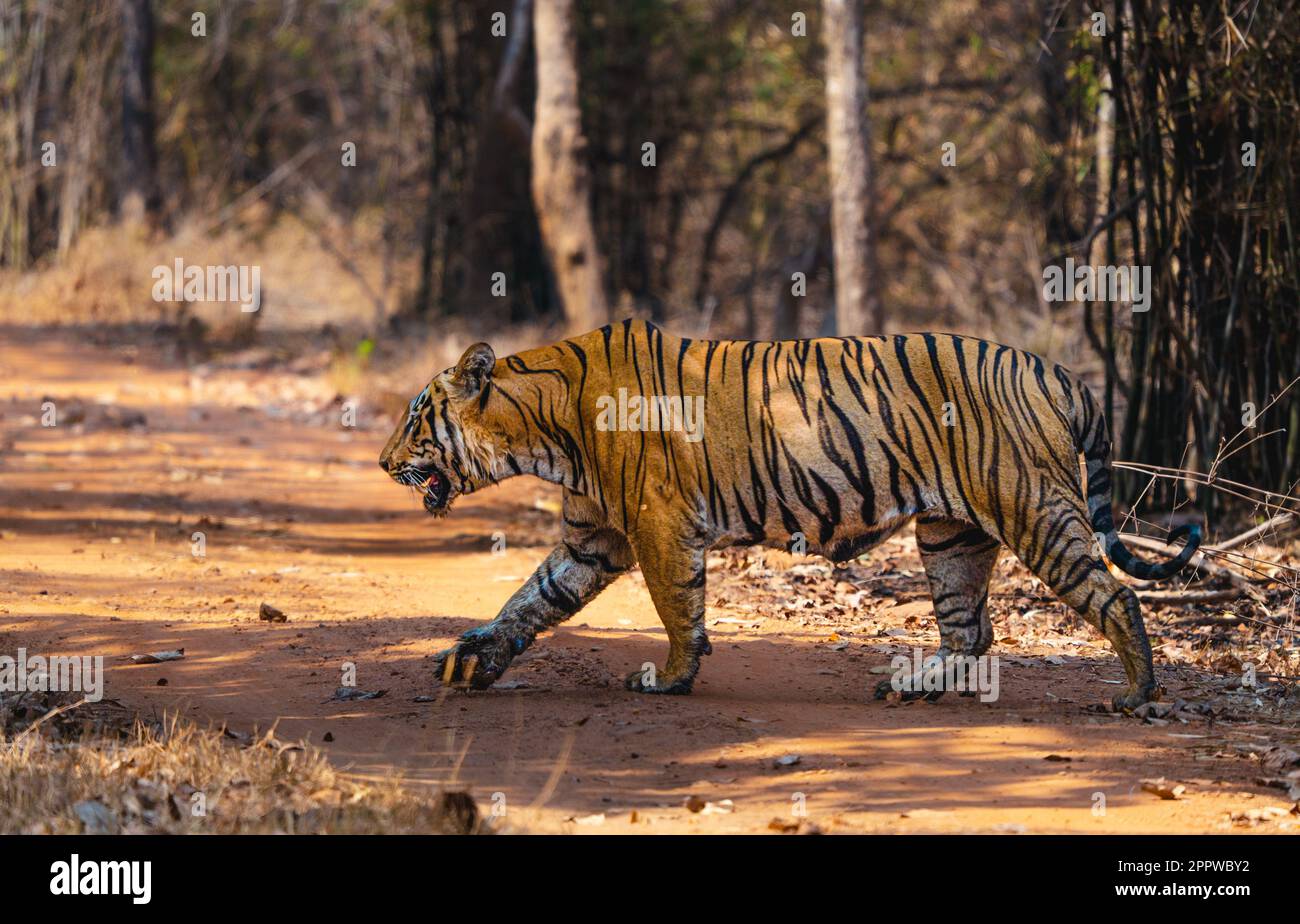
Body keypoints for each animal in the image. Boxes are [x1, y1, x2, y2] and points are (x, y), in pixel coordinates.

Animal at [377, 318, 1196, 706]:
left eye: (417, 418)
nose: (384, 464)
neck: (542, 427)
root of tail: (1056, 370)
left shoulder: (656, 524)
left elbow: (677, 608)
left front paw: (671, 679)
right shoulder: (592, 537)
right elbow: (530, 599)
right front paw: (474, 659)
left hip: (1034, 508)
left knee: (1114, 594)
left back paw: (1136, 694)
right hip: (951, 535)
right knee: (972, 632)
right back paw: (910, 687)